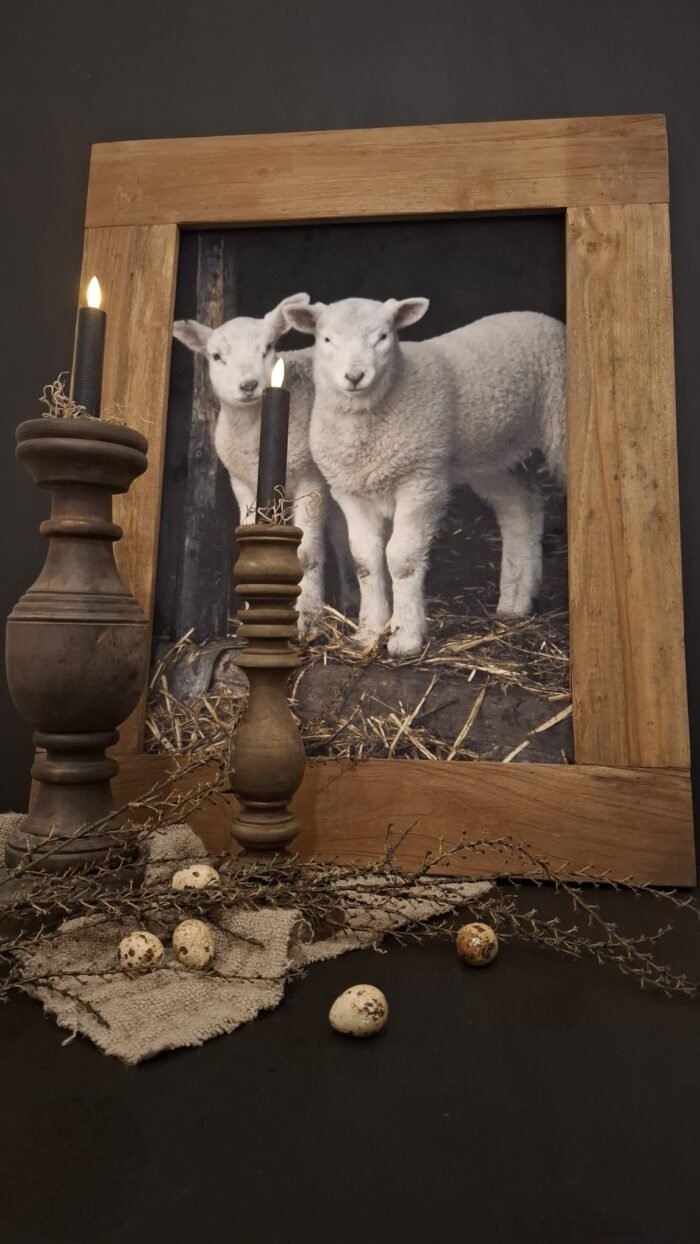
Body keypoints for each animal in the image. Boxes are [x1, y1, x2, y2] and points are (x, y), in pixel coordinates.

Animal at [174, 296, 330, 631]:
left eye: (268, 347)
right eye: (216, 356)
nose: (248, 385)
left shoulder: (311, 477)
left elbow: (308, 553)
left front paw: (308, 620)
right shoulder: (242, 482)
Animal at [284, 297, 564, 661]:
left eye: (383, 337)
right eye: (327, 339)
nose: (355, 376)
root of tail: (540, 317)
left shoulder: (420, 480)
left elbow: (401, 559)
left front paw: (405, 637)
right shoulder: (351, 489)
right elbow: (365, 561)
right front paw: (368, 632)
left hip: (559, 426)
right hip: (492, 454)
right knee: (520, 506)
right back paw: (516, 601)